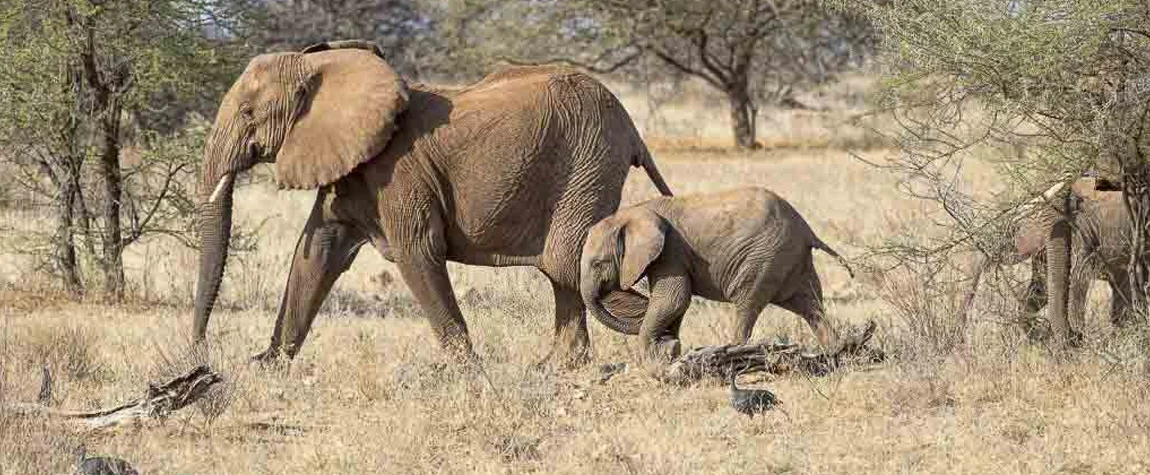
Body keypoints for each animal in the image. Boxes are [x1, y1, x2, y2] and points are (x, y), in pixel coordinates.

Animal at [189, 40, 671, 365]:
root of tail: (631, 126)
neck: (328, 63)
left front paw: (470, 372)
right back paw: (559, 368)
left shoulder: (398, 170)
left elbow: (416, 251)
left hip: (587, 160)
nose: (201, 352)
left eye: (248, 113)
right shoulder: (352, 166)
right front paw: (268, 365)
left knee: (568, 261)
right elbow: (318, 254)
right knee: (564, 268)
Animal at [579, 185, 851, 358]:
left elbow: (674, 299)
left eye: (598, 263)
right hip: (793, 260)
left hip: (765, 257)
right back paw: (834, 351)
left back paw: (735, 353)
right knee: (810, 305)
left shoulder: (671, 251)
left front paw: (658, 355)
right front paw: (669, 349)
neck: (634, 211)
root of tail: (808, 230)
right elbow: (675, 304)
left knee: (747, 304)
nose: (670, 344)